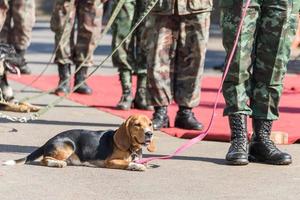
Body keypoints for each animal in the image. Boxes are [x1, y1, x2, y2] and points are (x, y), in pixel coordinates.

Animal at [3, 115, 156, 171]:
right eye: (137, 125)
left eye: (150, 124)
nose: (149, 133)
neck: (132, 148)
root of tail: (50, 140)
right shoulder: (111, 161)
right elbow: (128, 163)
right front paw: (137, 166)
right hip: (69, 145)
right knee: (44, 160)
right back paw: (57, 163)